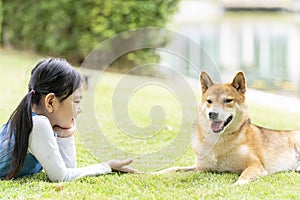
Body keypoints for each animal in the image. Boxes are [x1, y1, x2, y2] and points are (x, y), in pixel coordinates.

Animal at [158, 71, 298, 185]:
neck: (217, 142)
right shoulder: (200, 168)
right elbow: (175, 168)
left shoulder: (255, 165)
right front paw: (156, 173)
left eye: (228, 100)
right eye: (209, 101)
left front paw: (236, 186)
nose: (212, 113)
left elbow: (243, 177)